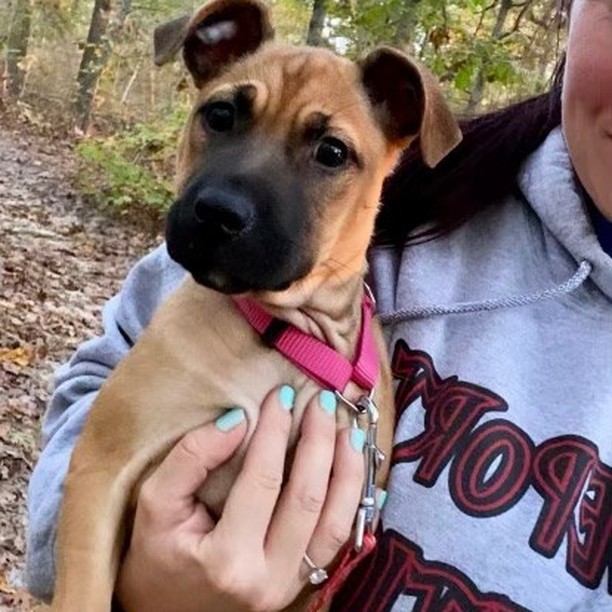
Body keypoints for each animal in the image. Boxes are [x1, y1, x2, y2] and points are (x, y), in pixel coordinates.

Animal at [52, 2, 462, 608]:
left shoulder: (317, 585)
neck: (289, 338)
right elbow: (83, 590)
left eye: (332, 152)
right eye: (220, 115)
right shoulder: (103, 466)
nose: (219, 213)